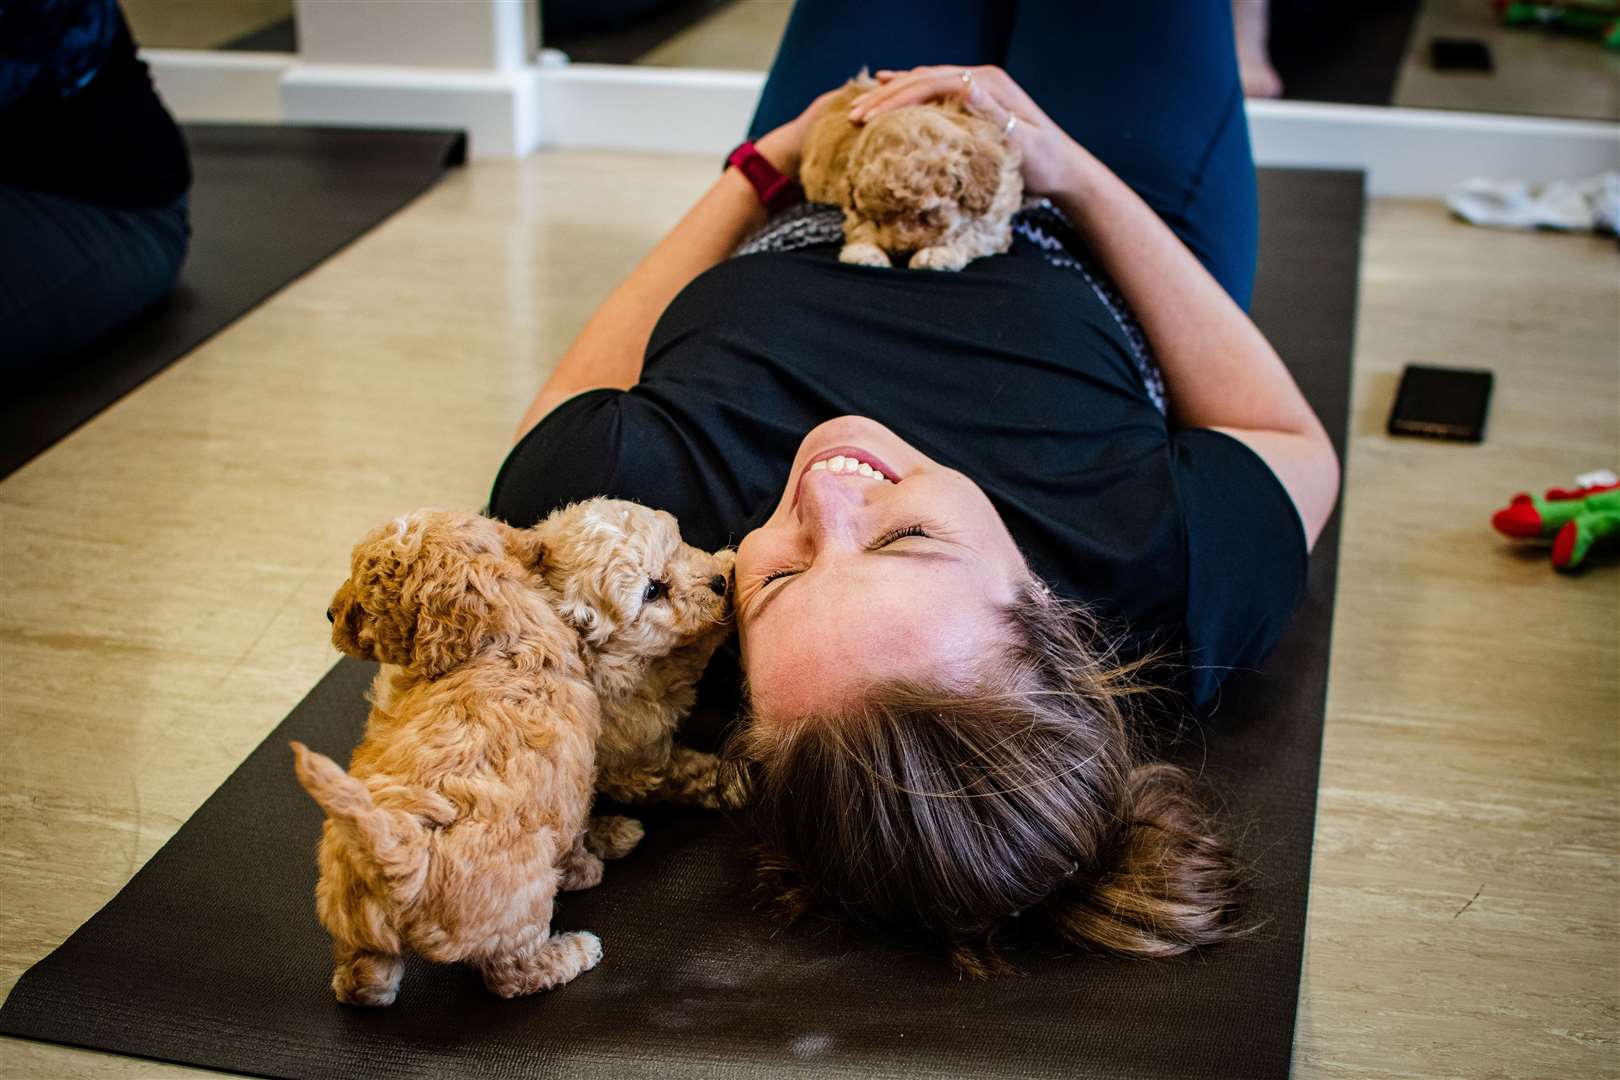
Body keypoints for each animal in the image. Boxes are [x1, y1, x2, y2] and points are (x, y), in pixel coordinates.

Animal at [288, 511, 622, 1010]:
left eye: (366, 600)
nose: (329, 612)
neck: (500, 631)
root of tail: (400, 856)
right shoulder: (571, 788)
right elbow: (577, 837)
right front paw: (590, 868)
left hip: (352, 912)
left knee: (364, 979)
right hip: (520, 904)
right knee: (512, 974)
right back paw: (574, 951)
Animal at [531, 501, 735, 816]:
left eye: (677, 545)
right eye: (652, 591)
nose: (720, 582)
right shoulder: (633, 757)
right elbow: (670, 773)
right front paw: (725, 783)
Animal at [800, 72, 1017, 272]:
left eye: (926, 217)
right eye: (877, 220)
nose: (899, 255)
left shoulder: (995, 218)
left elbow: (971, 235)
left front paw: (936, 254)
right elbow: (859, 227)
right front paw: (865, 252)